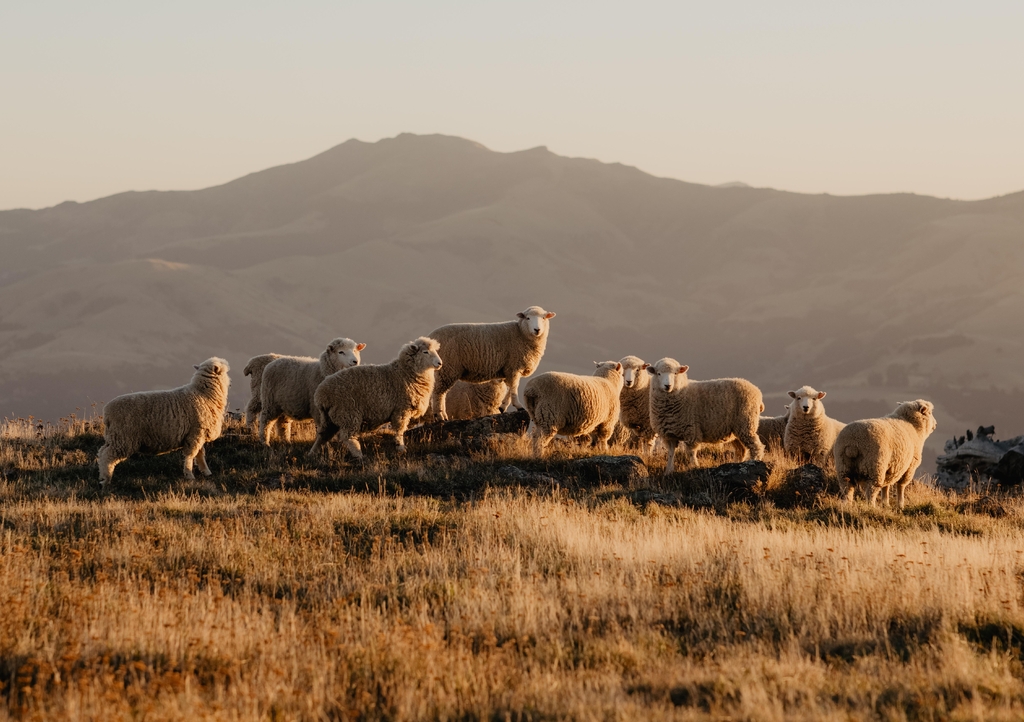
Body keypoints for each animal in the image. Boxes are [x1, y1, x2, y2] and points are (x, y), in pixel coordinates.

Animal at [97, 357, 230, 487]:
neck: (203, 394)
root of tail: (107, 412)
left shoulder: (198, 433)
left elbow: (200, 453)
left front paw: (206, 472)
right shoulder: (195, 433)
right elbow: (191, 455)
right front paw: (189, 475)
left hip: (115, 437)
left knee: (102, 452)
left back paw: (102, 477)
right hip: (123, 438)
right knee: (107, 456)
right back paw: (106, 479)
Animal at [308, 337, 443, 459]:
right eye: (425, 352)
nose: (439, 363)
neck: (405, 372)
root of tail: (321, 394)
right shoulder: (401, 409)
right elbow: (399, 431)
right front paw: (401, 448)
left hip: (329, 418)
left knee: (322, 436)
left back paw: (312, 453)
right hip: (348, 413)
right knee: (347, 436)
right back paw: (359, 455)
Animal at [427, 305, 555, 420]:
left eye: (544, 318)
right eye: (528, 318)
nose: (537, 330)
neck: (520, 333)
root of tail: (431, 338)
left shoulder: (510, 368)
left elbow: (511, 388)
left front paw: (503, 406)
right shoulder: (514, 366)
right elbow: (514, 387)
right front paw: (518, 406)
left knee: (441, 393)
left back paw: (442, 416)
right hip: (448, 367)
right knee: (438, 393)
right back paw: (440, 416)